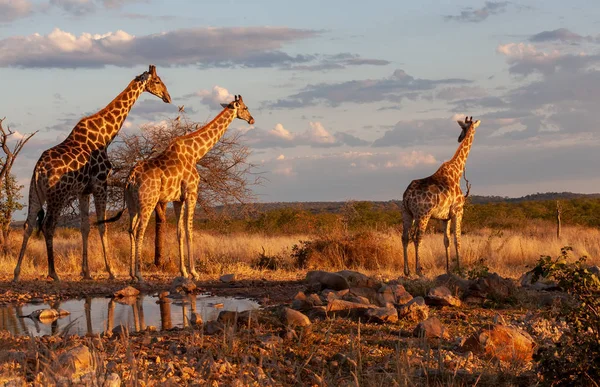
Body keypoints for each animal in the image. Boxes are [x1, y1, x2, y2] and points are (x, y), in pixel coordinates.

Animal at [12, 63, 172, 282]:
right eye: (157, 81)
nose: (168, 97)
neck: (105, 135)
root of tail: (39, 170)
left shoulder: (83, 191)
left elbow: (85, 227)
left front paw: (86, 272)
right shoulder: (100, 183)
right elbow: (102, 225)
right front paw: (111, 271)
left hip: (34, 192)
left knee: (28, 225)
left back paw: (17, 272)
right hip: (57, 195)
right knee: (48, 225)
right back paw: (53, 273)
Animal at [99, 94, 254, 282]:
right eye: (245, 108)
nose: (252, 120)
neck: (195, 153)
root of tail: (131, 178)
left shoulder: (177, 199)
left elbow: (179, 232)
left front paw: (183, 272)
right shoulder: (192, 193)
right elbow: (189, 230)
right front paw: (194, 272)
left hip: (131, 203)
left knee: (130, 229)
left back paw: (131, 274)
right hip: (148, 201)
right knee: (139, 230)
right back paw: (139, 274)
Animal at [400, 116, 480, 278]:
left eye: (462, 128)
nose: (459, 137)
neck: (457, 172)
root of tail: (407, 195)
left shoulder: (445, 217)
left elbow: (446, 240)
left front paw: (448, 269)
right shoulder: (458, 211)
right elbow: (457, 240)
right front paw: (460, 270)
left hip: (407, 213)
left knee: (405, 237)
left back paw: (407, 271)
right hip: (423, 215)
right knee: (417, 238)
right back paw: (419, 271)